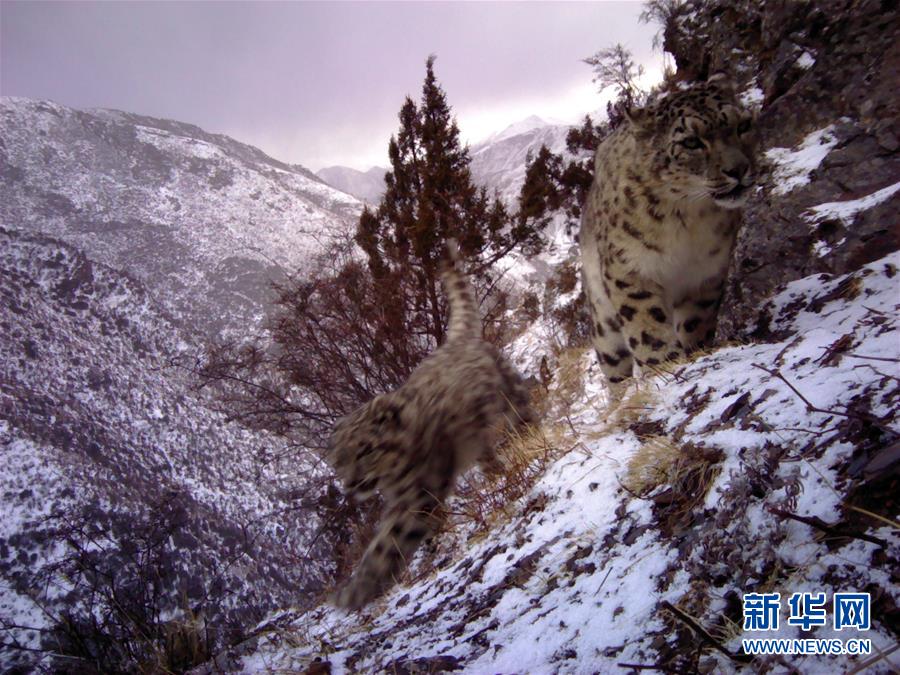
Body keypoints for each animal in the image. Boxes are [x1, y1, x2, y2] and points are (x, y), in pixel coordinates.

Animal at [326, 240, 536, 608]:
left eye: (365, 450)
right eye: (339, 460)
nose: (350, 484)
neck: (391, 482)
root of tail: (457, 340)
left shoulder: (417, 493)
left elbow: (388, 541)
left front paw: (354, 592)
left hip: (510, 394)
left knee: (524, 413)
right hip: (478, 438)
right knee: (487, 453)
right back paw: (497, 472)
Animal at [580, 74, 756, 394]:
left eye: (743, 125)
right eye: (691, 141)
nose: (738, 169)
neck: (689, 219)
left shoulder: (706, 273)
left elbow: (696, 321)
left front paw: (696, 352)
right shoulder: (630, 268)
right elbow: (646, 325)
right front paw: (665, 364)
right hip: (603, 321)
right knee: (614, 367)